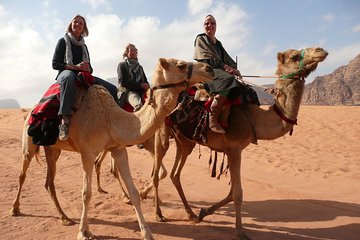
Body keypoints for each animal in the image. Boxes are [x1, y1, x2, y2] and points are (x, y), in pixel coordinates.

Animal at [9, 58, 215, 240]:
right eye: (180, 65)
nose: (209, 69)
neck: (111, 118)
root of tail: (32, 109)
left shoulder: (118, 149)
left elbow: (133, 192)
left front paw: (147, 232)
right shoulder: (87, 153)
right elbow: (86, 193)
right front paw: (84, 232)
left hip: (53, 149)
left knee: (49, 182)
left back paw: (64, 218)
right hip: (29, 143)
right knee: (22, 174)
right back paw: (15, 208)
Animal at [95, 47, 330, 240]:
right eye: (294, 55)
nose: (321, 50)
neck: (254, 117)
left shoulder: (234, 151)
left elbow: (232, 191)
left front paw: (203, 212)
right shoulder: (235, 149)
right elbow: (237, 193)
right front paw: (241, 231)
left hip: (185, 142)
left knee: (174, 174)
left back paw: (189, 212)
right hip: (162, 135)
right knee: (157, 173)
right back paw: (158, 213)